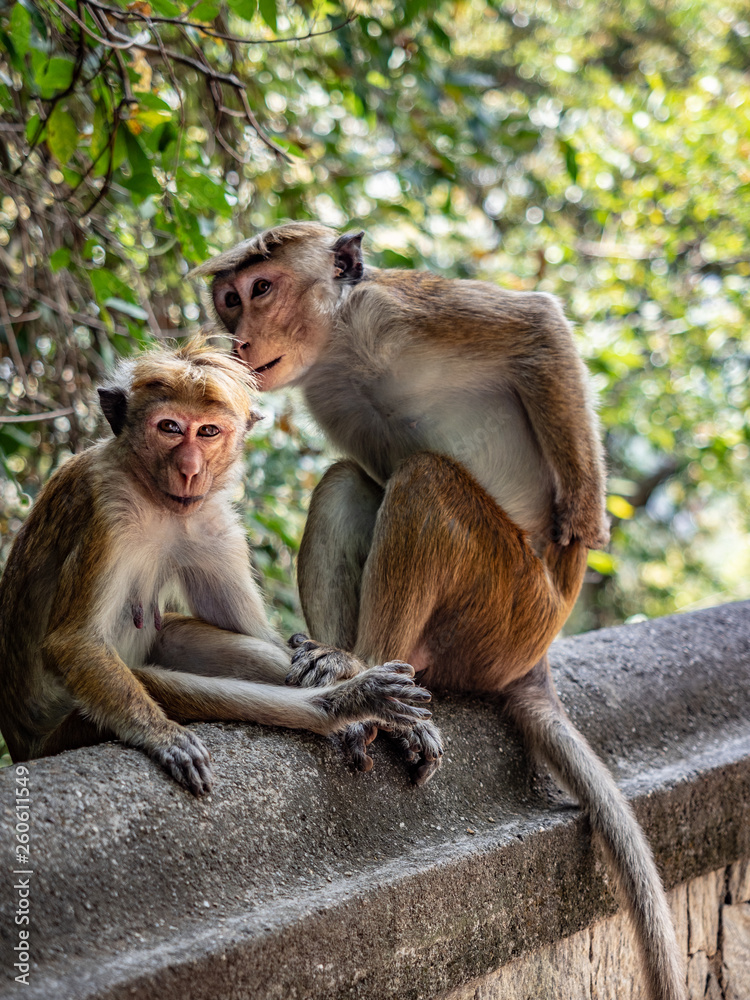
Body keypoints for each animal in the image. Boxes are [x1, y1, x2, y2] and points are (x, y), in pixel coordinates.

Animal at [0, 338, 433, 796]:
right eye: (169, 427)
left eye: (208, 431)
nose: (190, 470)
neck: (154, 497)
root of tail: (22, 744)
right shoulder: (107, 504)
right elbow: (73, 641)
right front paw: (161, 735)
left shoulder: (212, 522)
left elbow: (255, 633)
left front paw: (334, 662)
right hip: (64, 733)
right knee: (151, 680)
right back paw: (344, 705)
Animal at [193, 222, 686, 1000]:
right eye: (228, 299)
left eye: (260, 289)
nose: (238, 339)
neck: (344, 346)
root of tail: (534, 662)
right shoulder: (329, 391)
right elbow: (368, 468)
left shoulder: (402, 309)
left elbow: (538, 326)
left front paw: (584, 514)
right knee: (351, 482)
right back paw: (351, 682)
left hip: (505, 612)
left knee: (426, 484)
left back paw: (368, 684)